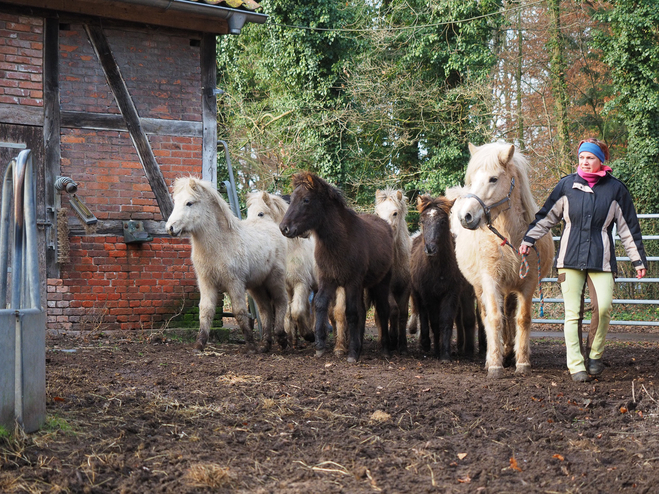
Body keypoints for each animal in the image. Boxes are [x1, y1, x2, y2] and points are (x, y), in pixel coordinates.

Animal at [166, 179, 288, 354]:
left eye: (189, 203)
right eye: (176, 201)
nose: (170, 228)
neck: (219, 245)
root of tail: (271, 224)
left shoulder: (234, 283)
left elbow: (240, 312)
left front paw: (250, 346)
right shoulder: (206, 283)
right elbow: (205, 310)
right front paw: (199, 345)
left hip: (275, 279)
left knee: (281, 302)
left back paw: (282, 339)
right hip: (257, 286)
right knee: (265, 309)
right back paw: (265, 344)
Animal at [248, 189, 320, 348]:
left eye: (260, 213)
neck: (290, 250)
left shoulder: (301, 283)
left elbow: (297, 311)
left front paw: (308, 335)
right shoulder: (286, 287)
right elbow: (288, 312)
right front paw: (290, 338)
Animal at [278, 174, 392, 362]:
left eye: (306, 200)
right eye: (292, 198)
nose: (284, 228)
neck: (340, 241)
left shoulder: (352, 282)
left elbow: (351, 313)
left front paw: (352, 353)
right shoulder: (327, 279)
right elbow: (320, 305)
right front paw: (320, 346)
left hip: (381, 283)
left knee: (382, 310)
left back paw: (385, 348)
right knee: (362, 310)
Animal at [412, 195, 480, 360]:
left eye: (443, 221)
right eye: (422, 221)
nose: (430, 249)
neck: (438, 270)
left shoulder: (451, 294)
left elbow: (446, 321)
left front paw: (445, 354)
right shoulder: (429, 295)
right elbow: (434, 322)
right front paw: (437, 349)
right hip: (418, 295)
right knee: (423, 315)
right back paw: (426, 342)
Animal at [452, 143, 556, 378]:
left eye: (493, 179)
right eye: (472, 179)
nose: (466, 217)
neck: (510, 238)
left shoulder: (528, 283)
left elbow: (522, 319)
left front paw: (522, 362)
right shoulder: (490, 281)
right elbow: (494, 318)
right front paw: (494, 365)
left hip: (509, 288)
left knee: (509, 314)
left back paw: (509, 352)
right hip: (480, 287)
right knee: (487, 316)